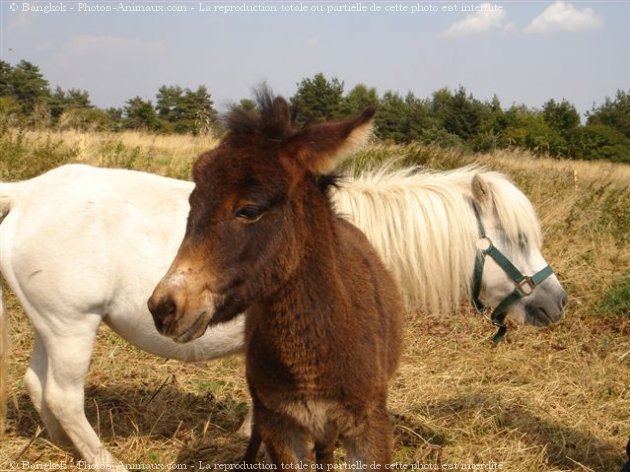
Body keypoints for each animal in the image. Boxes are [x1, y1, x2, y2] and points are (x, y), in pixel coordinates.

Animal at [0, 164, 568, 466]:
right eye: (518, 239)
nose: (556, 302)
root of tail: (30, 191)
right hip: (73, 325)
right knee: (64, 395)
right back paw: (104, 460)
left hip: (53, 325)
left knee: (39, 385)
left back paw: (66, 447)